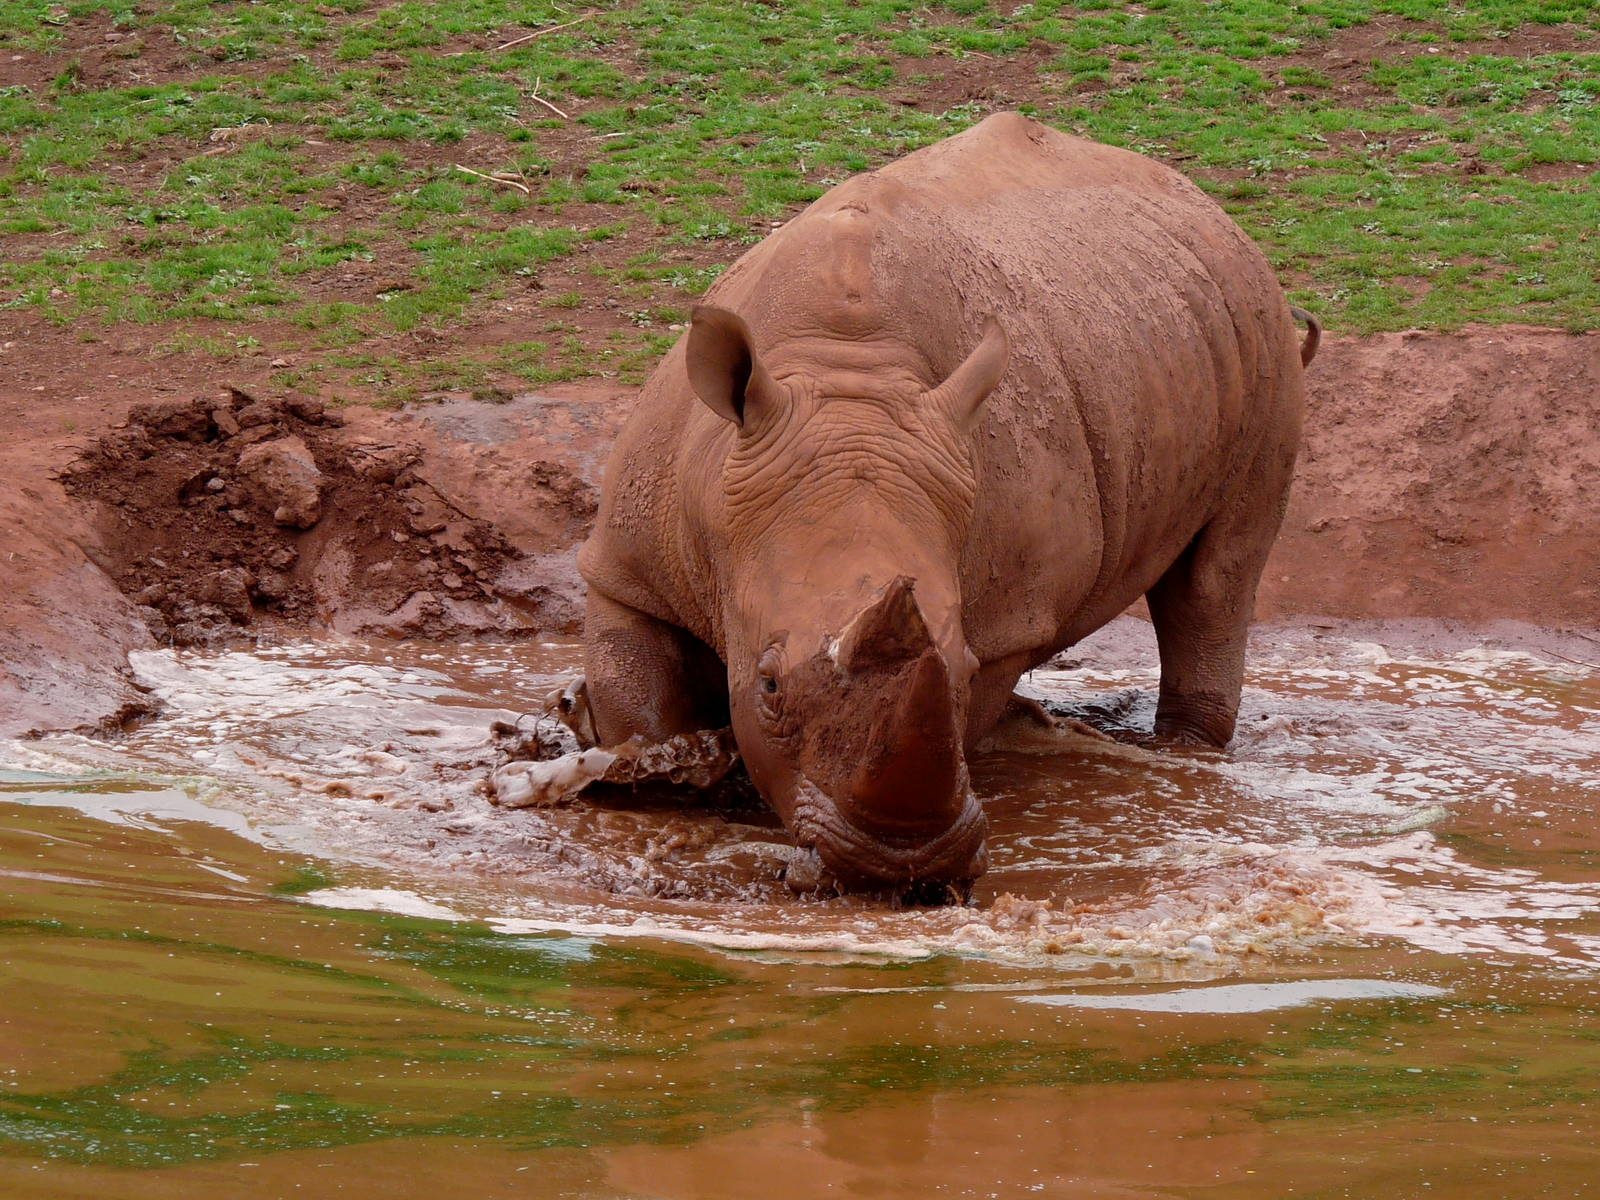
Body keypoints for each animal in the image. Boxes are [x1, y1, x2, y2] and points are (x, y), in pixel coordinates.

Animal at [564, 112, 1316, 898]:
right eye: (766, 684)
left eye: (963, 667)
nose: (896, 864)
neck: (845, 376)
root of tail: (1206, 205)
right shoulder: (628, 568)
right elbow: (639, 703)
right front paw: (666, 783)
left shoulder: (1006, 621)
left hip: (1261, 338)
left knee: (1217, 578)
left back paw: (1183, 754)